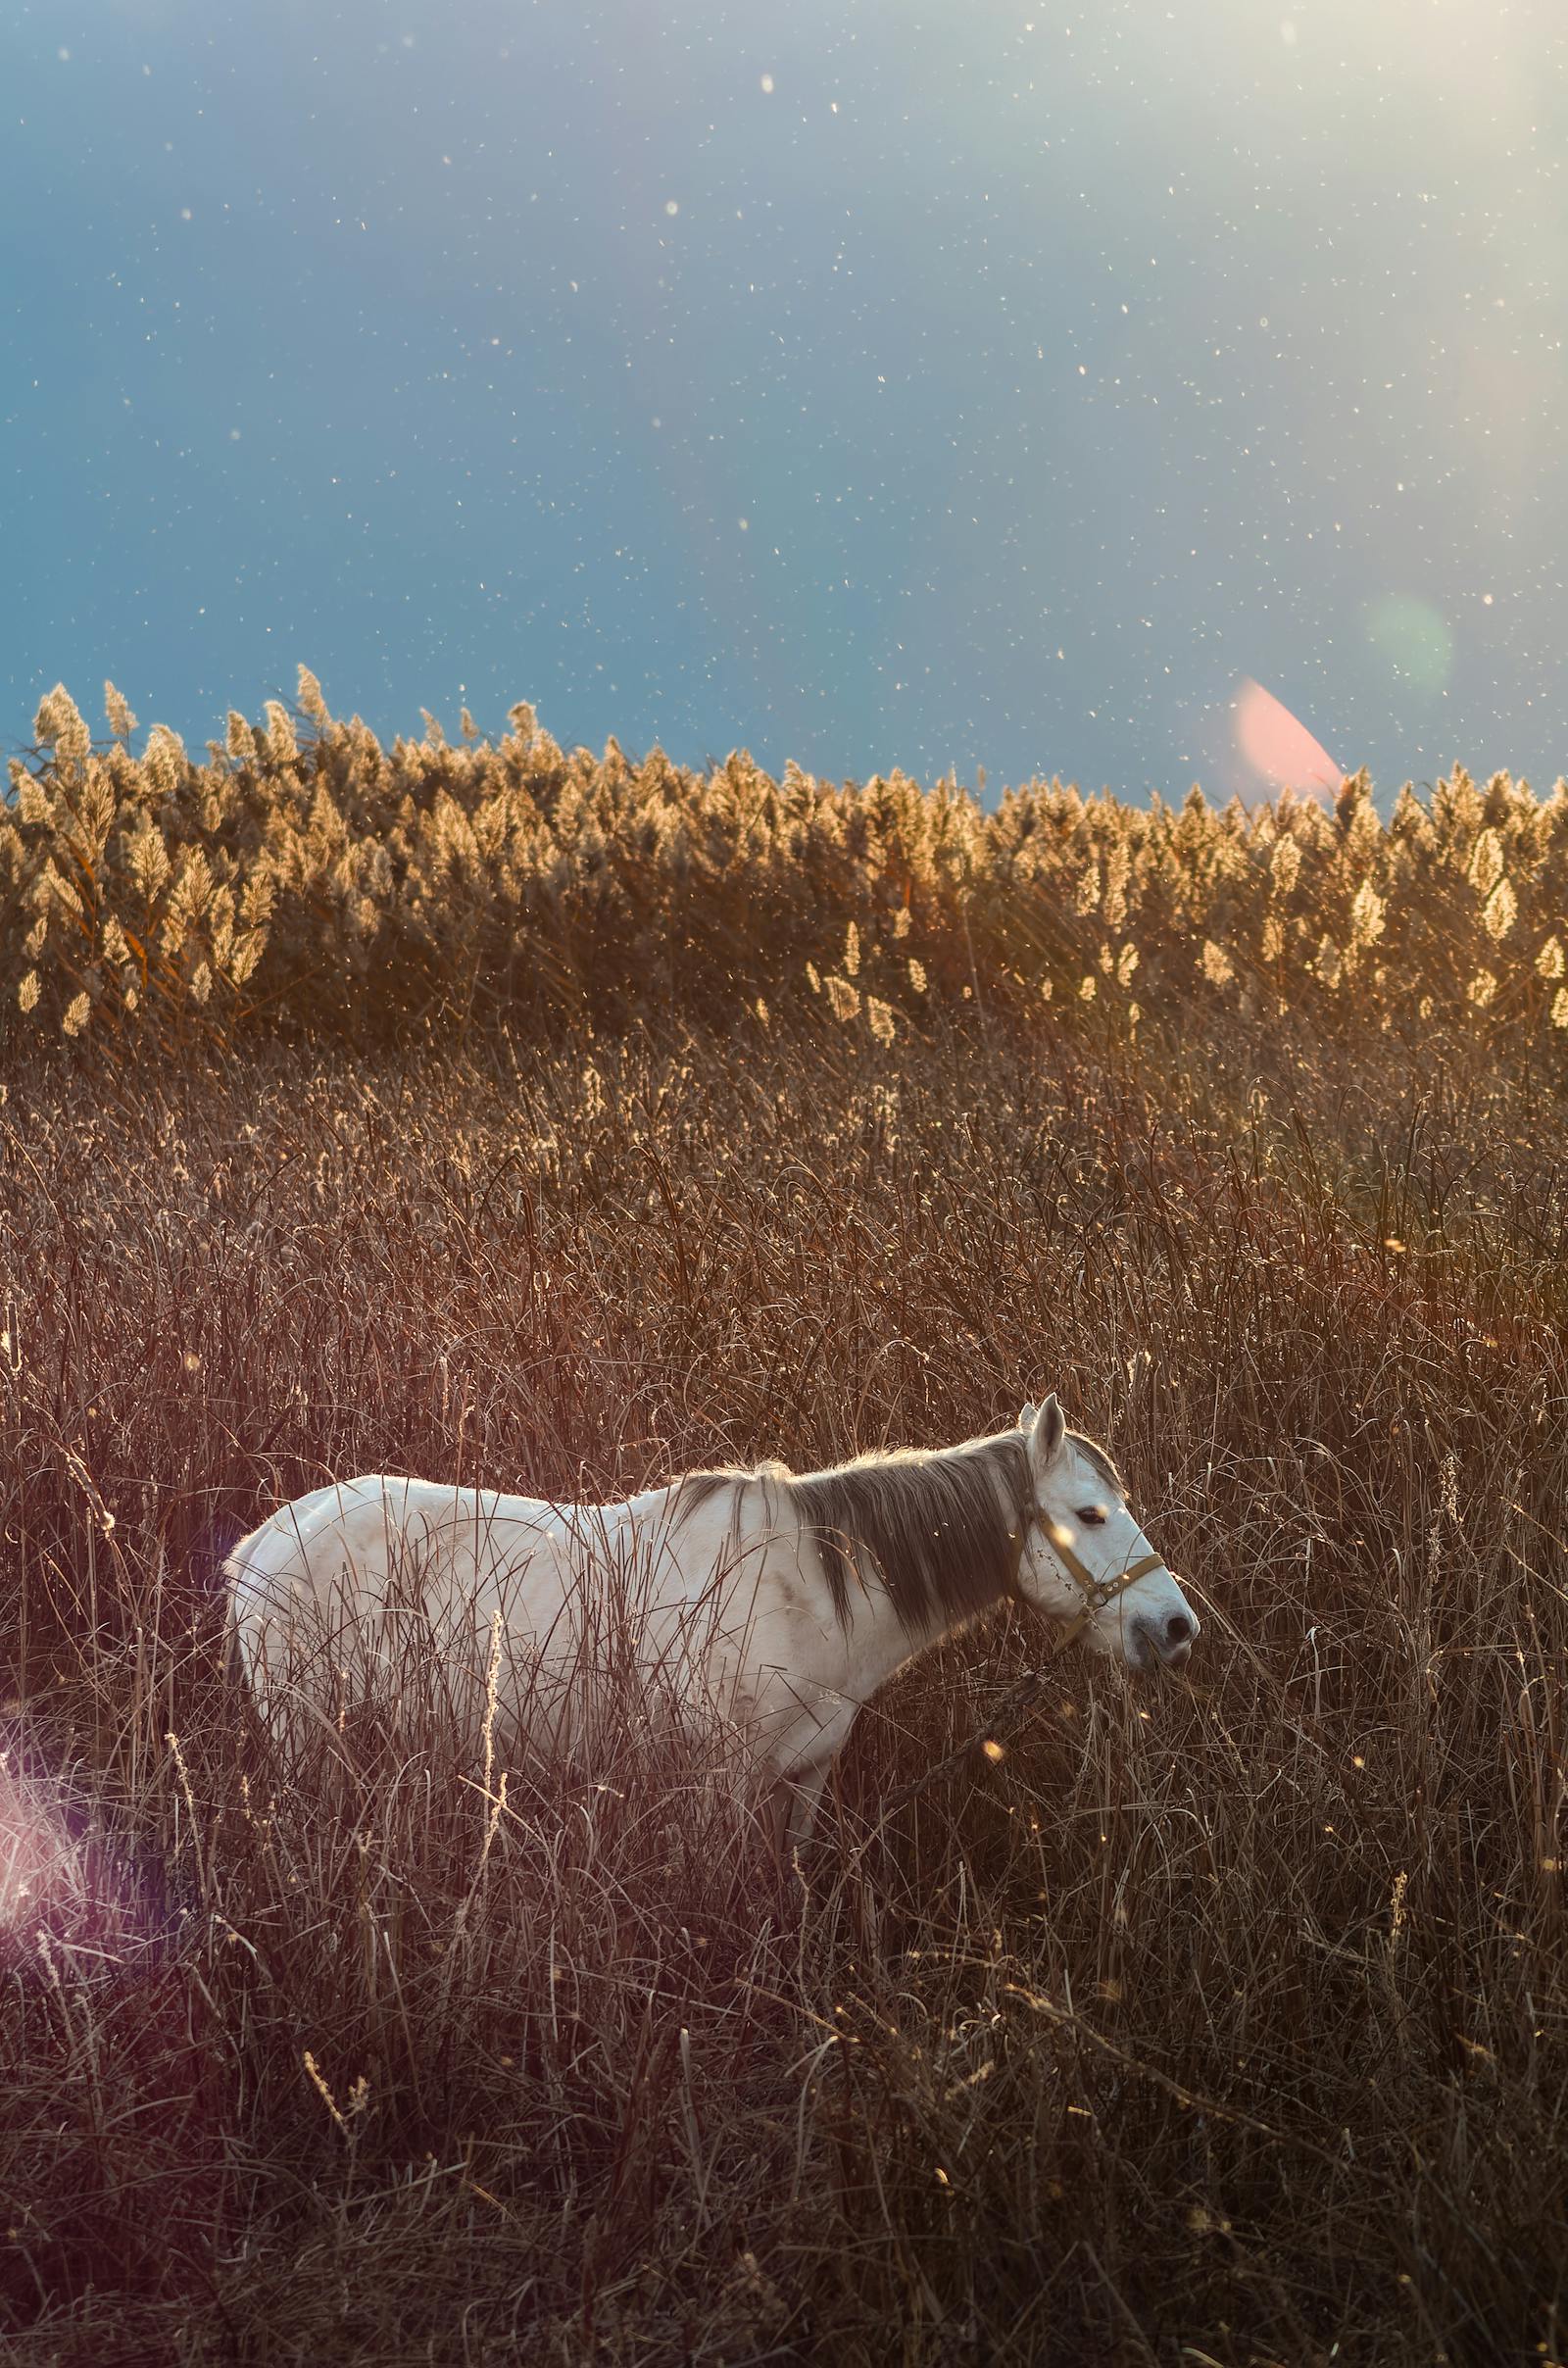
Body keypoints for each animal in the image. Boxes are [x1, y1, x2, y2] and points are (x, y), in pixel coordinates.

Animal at [227, 1382, 1198, 1847]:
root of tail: (259, 1547)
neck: (811, 1596)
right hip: (307, 1740)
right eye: (1090, 1515)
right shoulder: (719, 1788)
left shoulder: (803, 1782)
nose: (1176, 1627)